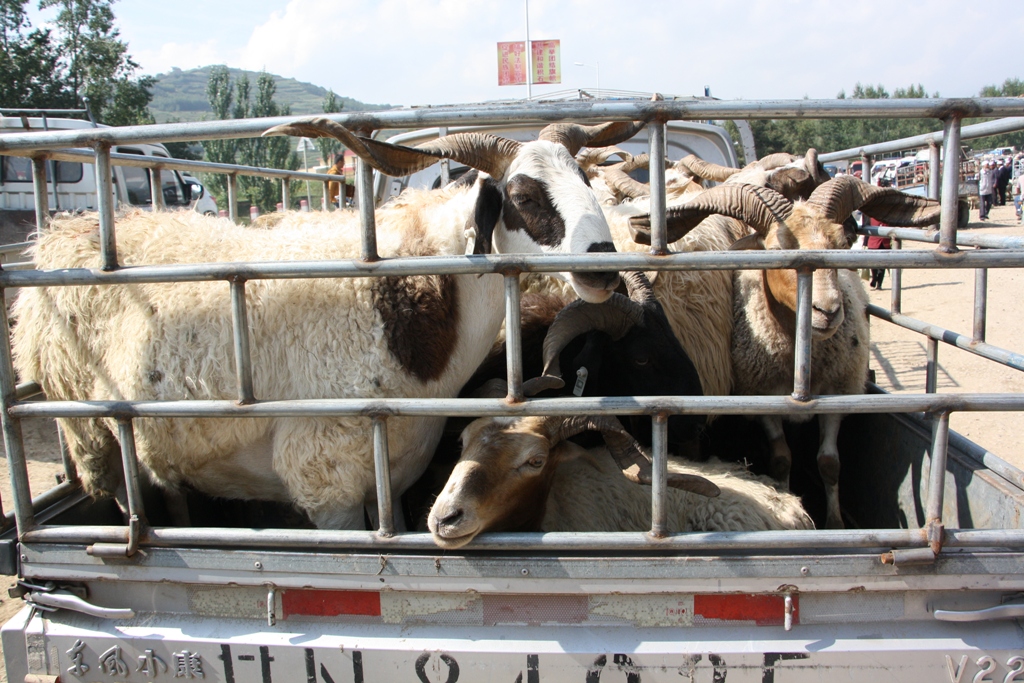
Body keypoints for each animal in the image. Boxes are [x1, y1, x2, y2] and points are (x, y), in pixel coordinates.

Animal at [14, 117, 638, 532]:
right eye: (523, 195)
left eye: (586, 180)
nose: (606, 266)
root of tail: (58, 234)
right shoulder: (326, 478)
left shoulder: (386, 474)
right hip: (91, 428)